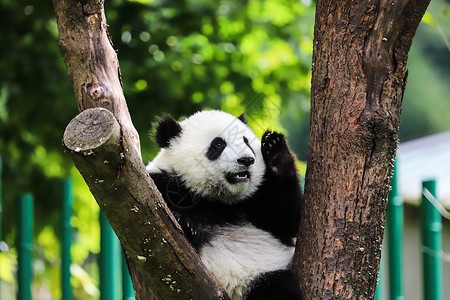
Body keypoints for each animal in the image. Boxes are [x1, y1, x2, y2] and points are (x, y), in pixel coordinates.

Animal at [147, 110, 302, 300]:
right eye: (219, 143)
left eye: (246, 141)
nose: (246, 160)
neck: (217, 200)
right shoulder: (161, 184)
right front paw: (183, 223)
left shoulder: (255, 199)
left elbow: (286, 220)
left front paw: (276, 152)